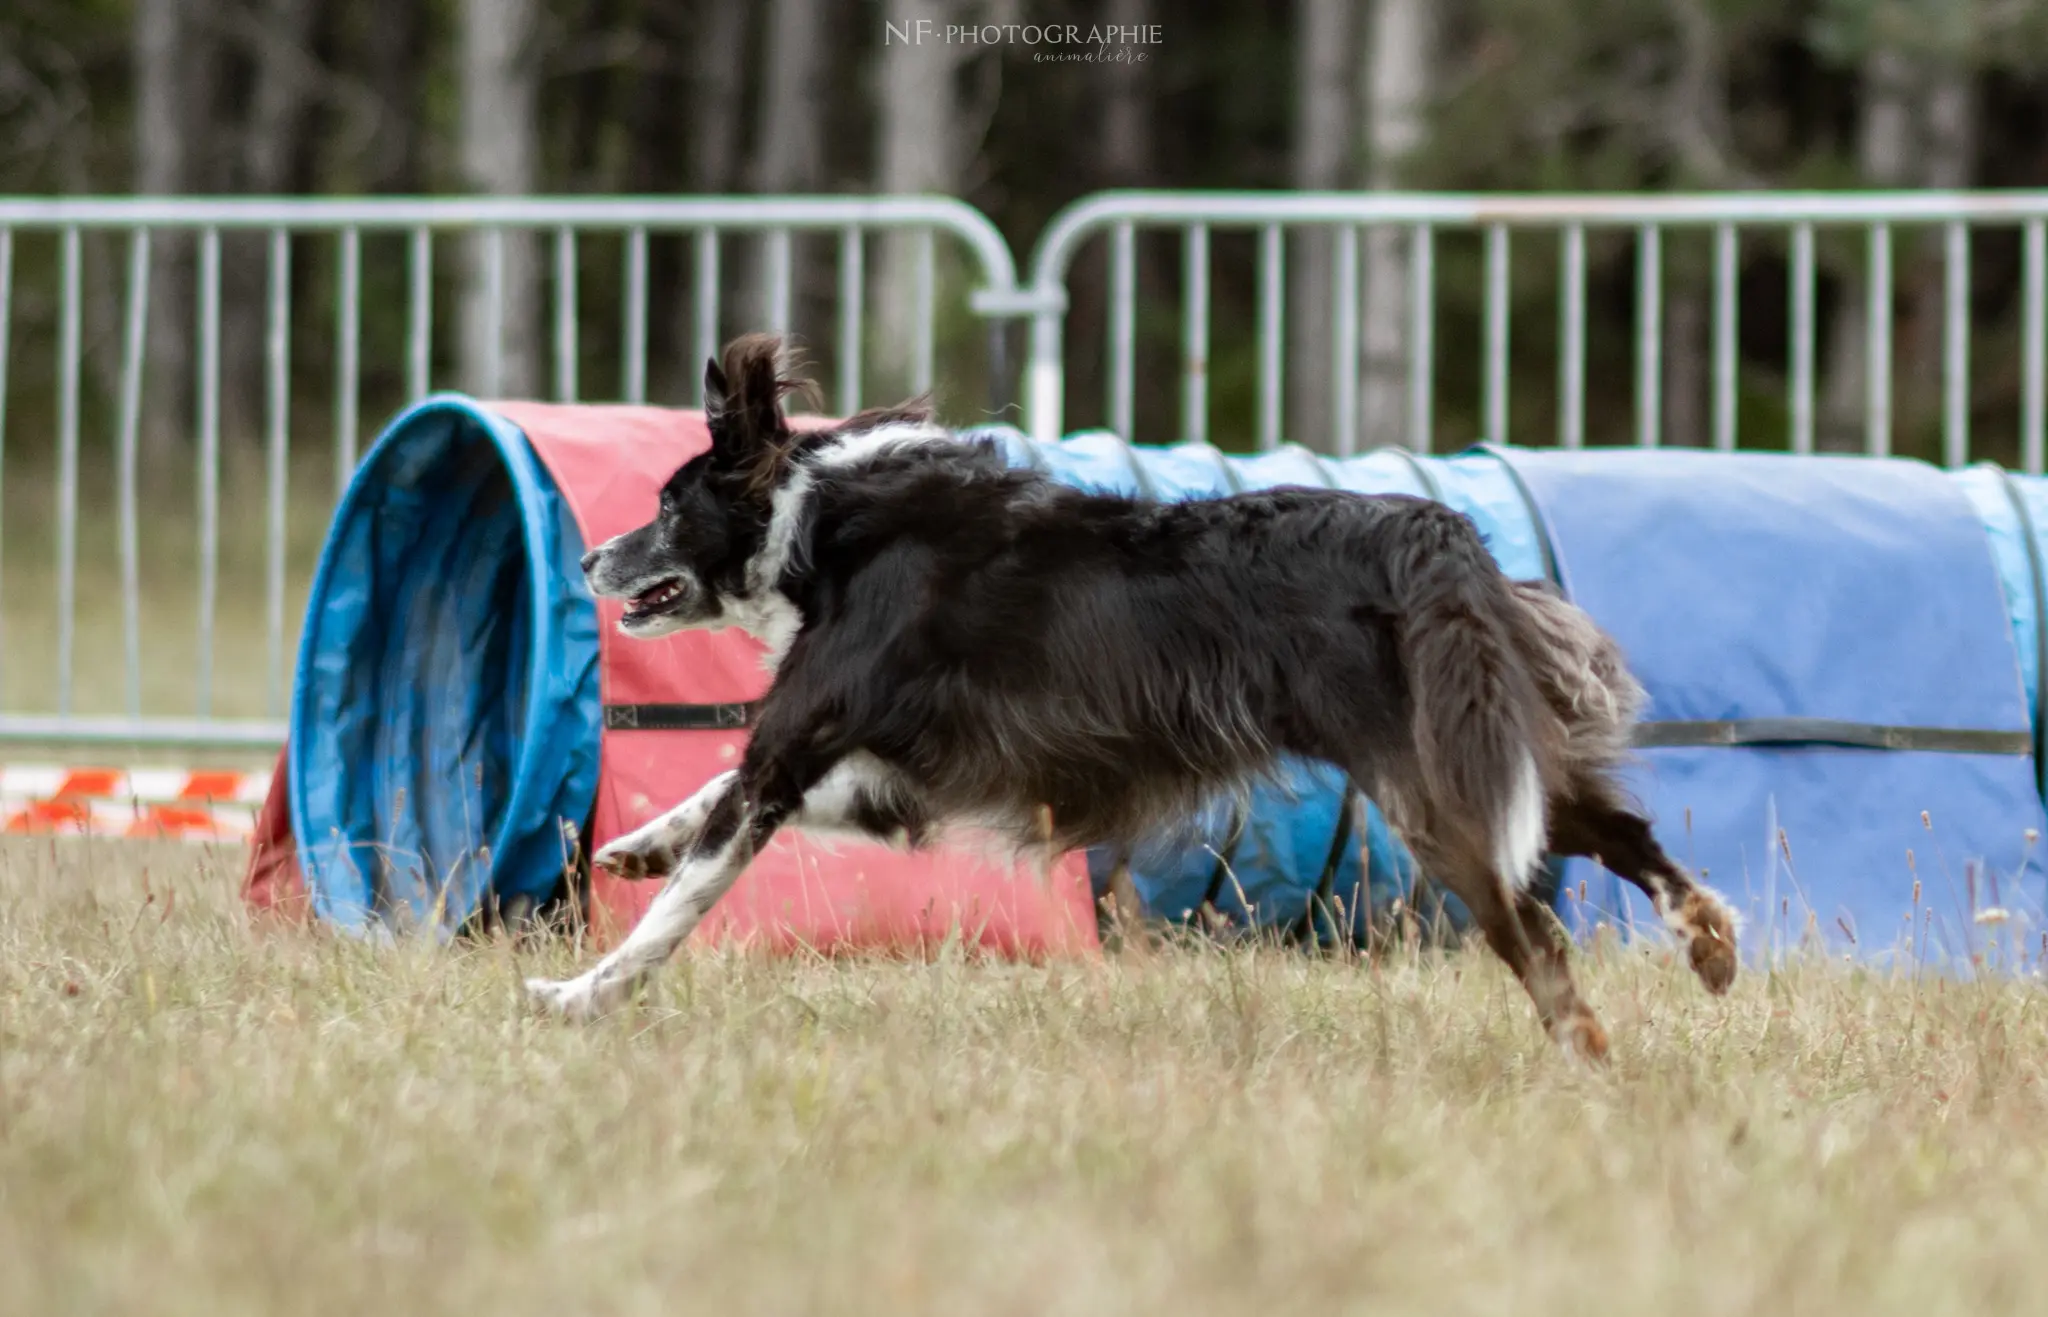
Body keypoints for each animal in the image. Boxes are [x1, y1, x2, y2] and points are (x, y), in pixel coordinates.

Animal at [520, 335, 1736, 1056]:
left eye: (667, 509)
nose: (584, 559)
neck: (823, 525)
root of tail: (1430, 528)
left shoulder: (801, 744)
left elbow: (685, 900)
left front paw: (578, 996)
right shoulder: (885, 781)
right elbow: (703, 813)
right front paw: (635, 846)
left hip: (1433, 794)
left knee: (1538, 938)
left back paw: (1589, 1057)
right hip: (1483, 755)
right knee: (1617, 832)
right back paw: (1707, 942)